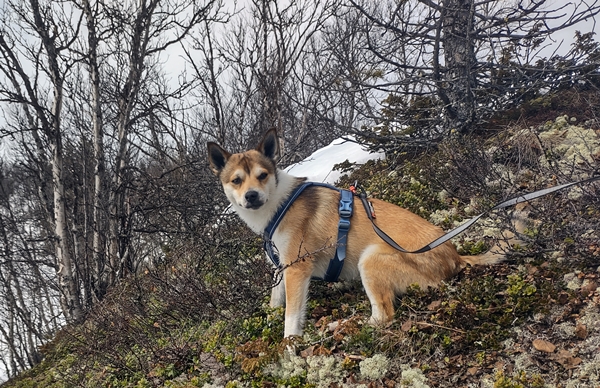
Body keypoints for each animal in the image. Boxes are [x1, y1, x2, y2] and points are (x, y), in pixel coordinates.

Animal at [206, 130, 516, 336]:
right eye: (236, 180)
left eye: (262, 175)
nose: (252, 196)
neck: (279, 204)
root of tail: (455, 257)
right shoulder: (281, 267)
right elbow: (275, 300)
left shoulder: (296, 268)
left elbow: (291, 317)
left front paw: (288, 348)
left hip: (371, 259)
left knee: (383, 317)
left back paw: (342, 326)